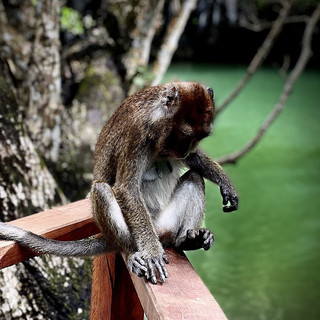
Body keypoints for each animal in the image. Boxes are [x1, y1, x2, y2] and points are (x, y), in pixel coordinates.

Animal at [0, 81, 238, 284]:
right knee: (102, 190)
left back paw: (186, 240)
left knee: (195, 177)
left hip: (166, 225)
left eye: (199, 138)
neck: (157, 118)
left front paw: (226, 184)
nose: (185, 150)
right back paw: (134, 252)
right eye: (185, 134)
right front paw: (152, 253)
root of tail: (157, 231)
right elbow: (126, 188)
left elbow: (195, 161)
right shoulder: (136, 134)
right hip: (134, 233)